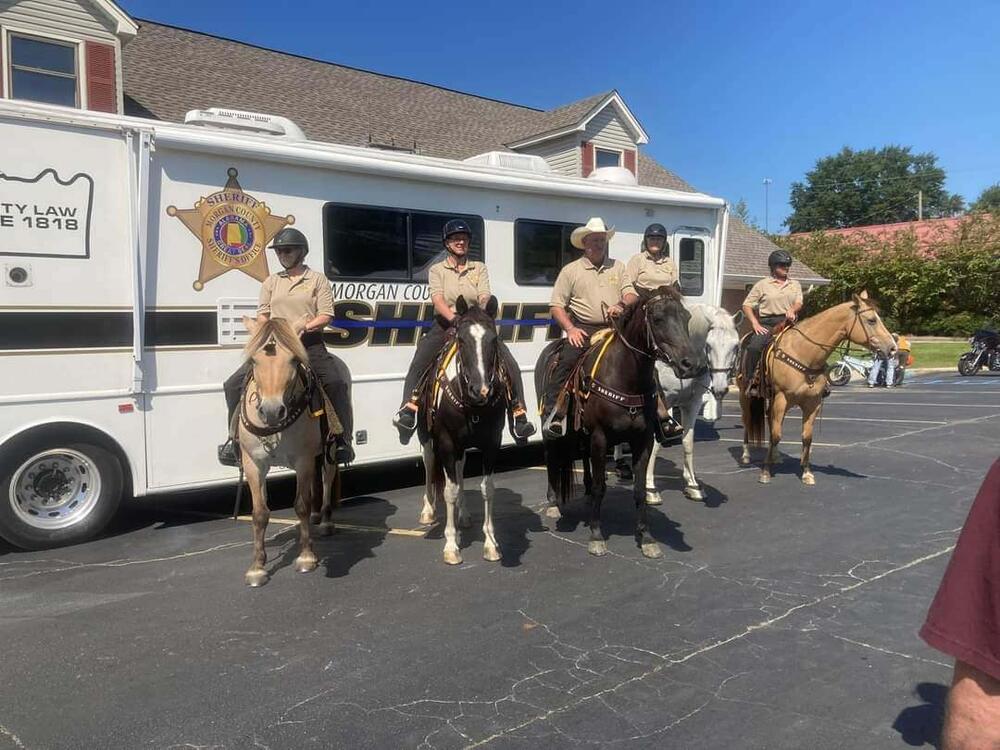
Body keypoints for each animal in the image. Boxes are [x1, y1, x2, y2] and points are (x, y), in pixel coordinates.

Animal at [238, 318, 340, 588]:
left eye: (294, 359)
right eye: (254, 361)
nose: (272, 411)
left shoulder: (303, 460)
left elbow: (301, 505)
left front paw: (306, 557)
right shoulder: (253, 463)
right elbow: (259, 513)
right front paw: (257, 568)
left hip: (329, 452)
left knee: (327, 480)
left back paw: (325, 521)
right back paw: (316, 517)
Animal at [416, 296, 508, 568]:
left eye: (493, 339)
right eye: (462, 340)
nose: (481, 390)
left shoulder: (492, 442)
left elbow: (487, 488)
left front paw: (491, 544)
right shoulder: (446, 442)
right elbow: (450, 491)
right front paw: (451, 546)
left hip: (462, 447)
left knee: (459, 468)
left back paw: (464, 515)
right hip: (428, 439)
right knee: (429, 465)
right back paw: (428, 510)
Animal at [536, 288, 700, 560]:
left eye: (686, 316)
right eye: (658, 319)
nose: (692, 365)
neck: (626, 378)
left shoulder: (642, 439)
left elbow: (639, 489)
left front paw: (647, 538)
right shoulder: (600, 437)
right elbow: (601, 487)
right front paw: (596, 536)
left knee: (584, 458)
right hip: (551, 426)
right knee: (552, 455)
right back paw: (552, 502)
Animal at [640, 304, 744, 506]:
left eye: (735, 346)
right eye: (708, 345)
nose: (720, 388)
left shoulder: (692, 403)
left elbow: (688, 442)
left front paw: (693, 485)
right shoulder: (664, 403)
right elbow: (655, 443)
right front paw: (649, 488)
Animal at [740, 290, 896, 484]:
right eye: (871, 320)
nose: (892, 348)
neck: (805, 353)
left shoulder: (812, 403)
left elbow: (806, 437)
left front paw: (807, 473)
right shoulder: (782, 398)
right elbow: (776, 434)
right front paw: (765, 472)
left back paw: (775, 456)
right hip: (746, 396)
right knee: (748, 421)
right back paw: (746, 455)